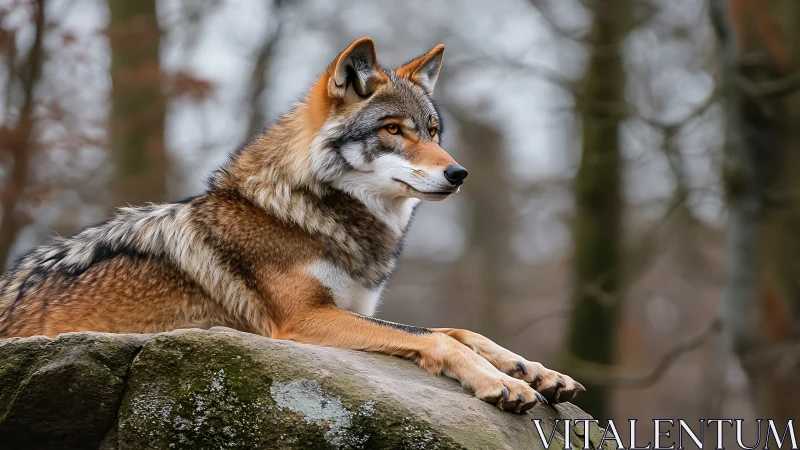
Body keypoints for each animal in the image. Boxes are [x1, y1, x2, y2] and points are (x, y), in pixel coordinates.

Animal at [0, 38, 582, 412]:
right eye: (394, 130)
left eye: (434, 131)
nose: (459, 173)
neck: (305, 211)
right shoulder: (303, 321)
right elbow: (438, 338)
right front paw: (501, 384)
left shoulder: (354, 308)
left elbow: (461, 329)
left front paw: (535, 371)